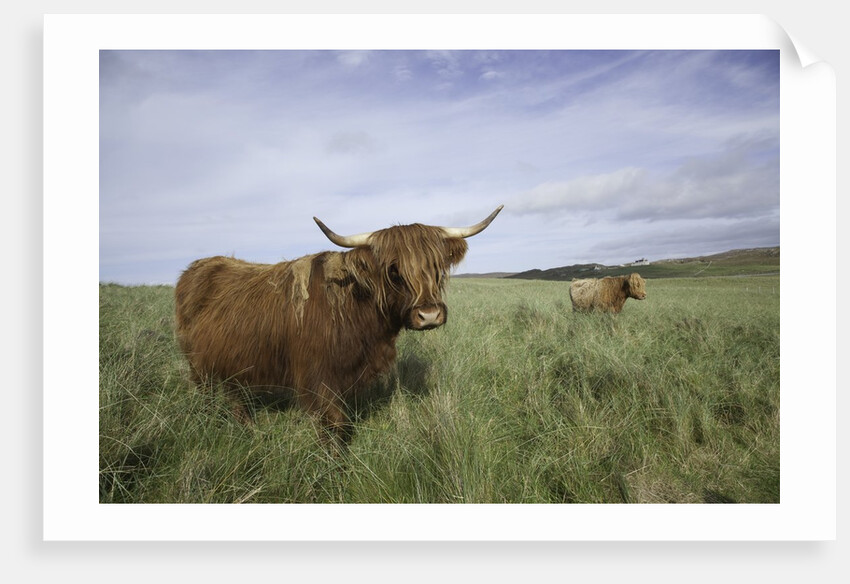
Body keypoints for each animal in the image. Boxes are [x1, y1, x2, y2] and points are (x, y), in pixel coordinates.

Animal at [175, 205, 503, 444]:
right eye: (393, 270)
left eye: (436, 267)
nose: (430, 314)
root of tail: (196, 266)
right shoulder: (319, 378)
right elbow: (334, 422)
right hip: (198, 365)